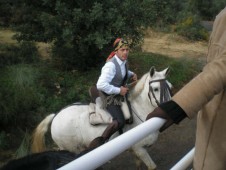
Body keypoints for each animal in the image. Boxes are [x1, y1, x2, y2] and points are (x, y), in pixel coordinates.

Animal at [31, 66, 171, 170]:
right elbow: (152, 166)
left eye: (170, 87)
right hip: (72, 149)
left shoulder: (135, 151)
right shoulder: (140, 149)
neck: (139, 112)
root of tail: (56, 116)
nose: (170, 107)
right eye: (156, 89)